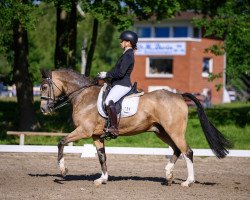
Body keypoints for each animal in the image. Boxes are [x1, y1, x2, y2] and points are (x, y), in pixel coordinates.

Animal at [40, 69, 231, 188]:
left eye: (44, 87)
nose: (43, 109)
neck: (83, 96)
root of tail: (178, 95)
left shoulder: (84, 131)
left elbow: (61, 142)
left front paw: (63, 171)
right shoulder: (96, 136)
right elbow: (102, 157)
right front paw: (102, 179)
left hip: (174, 131)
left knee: (187, 151)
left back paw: (187, 182)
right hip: (161, 131)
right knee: (177, 150)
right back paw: (168, 175)